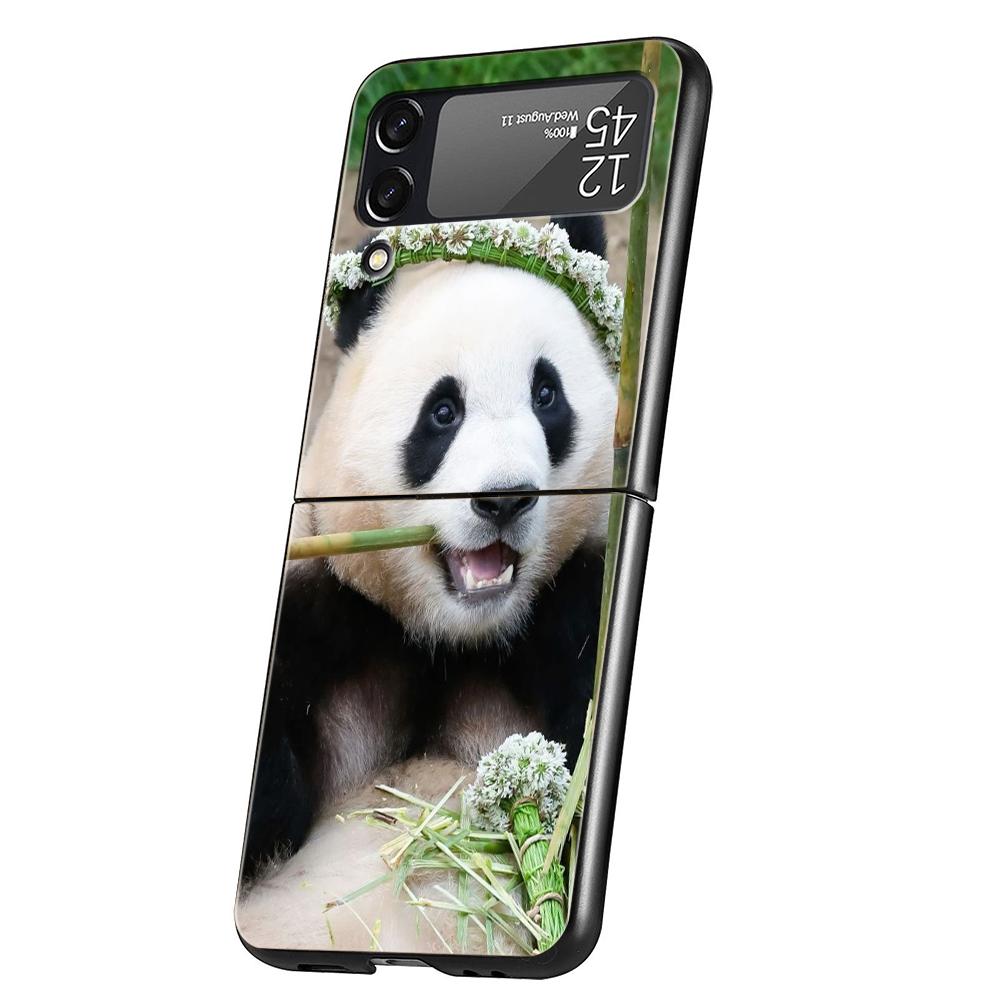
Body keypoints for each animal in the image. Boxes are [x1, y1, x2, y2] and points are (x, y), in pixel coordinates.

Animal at [238, 217, 618, 953]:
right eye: (443, 411)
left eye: (546, 395)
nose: (504, 499)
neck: (450, 640)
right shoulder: (325, 610)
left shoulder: (574, 605)